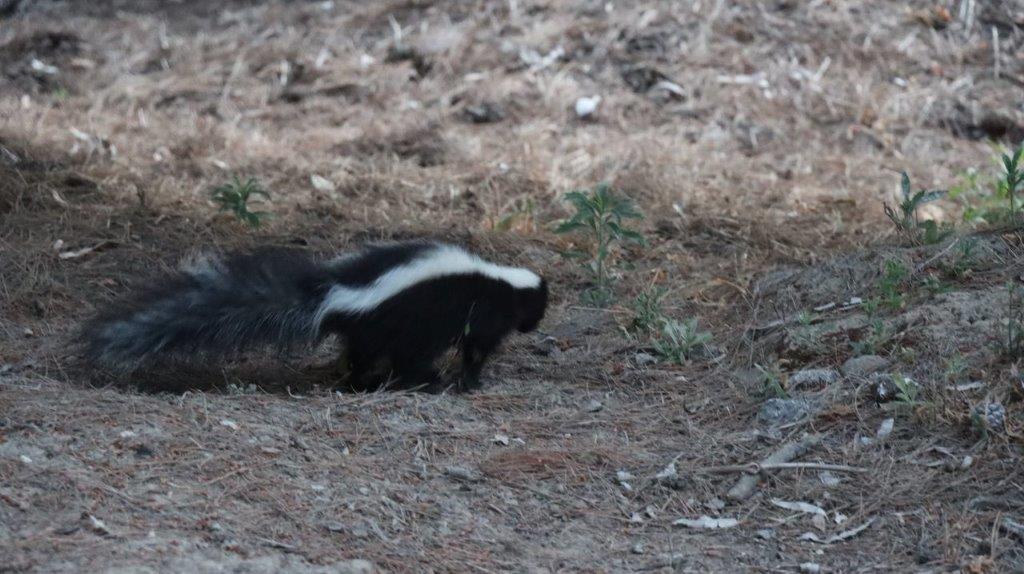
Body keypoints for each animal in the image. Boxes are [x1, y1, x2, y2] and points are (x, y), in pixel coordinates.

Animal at [83, 239, 548, 390]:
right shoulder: (483, 311)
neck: (502, 280)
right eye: (538, 307)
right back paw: (409, 381)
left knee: (358, 354)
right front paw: (470, 381)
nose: (534, 325)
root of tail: (338, 293)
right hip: (400, 325)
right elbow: (476, 347)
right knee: (399, 356)